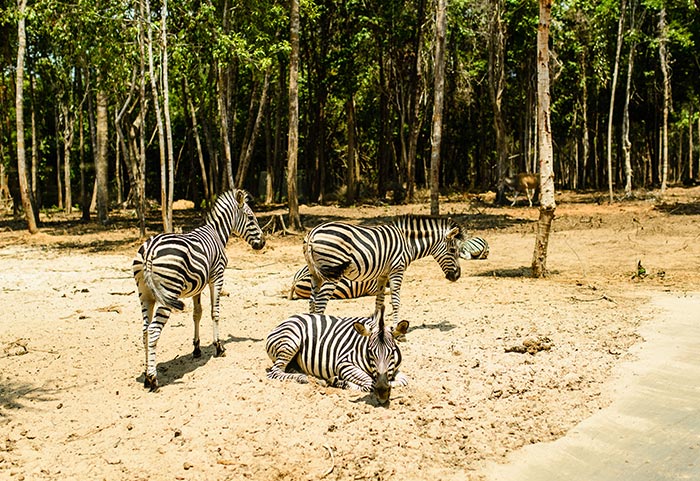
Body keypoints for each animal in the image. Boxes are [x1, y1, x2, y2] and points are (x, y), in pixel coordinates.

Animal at [132, 188, 266, 390]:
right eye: (251, 218)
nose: (263, 243)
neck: (218, 233)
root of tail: (150, 250)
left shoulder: (197, 286)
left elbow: (197, 314)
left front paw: (196, 348)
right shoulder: (217, 277)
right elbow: (214, 312)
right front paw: (219, 347)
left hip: (146, 295)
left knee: (145, 331)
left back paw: (147, 376)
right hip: (167, 292)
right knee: (154, 330)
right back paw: (153, 379)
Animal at [266, 306, 410, 404]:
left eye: (392, 352)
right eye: (370, 352)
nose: (382, 394)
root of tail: (290, 318)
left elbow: (403, 381)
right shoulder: (344, 364)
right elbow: (370, 383)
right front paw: (338, 382)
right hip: (291, 342)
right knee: (275, 372)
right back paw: (302, 378)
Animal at [300, 215, 464, 324]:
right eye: (453, 250)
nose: (457, 276)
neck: (407, 243)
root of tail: (313, 233)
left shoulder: (382, 274)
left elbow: (379, 302)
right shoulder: (397, 270)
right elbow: (395, 300)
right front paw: (397, 329)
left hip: (315, 273)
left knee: (312, 301)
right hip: (332, 271)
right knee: (320, 303)